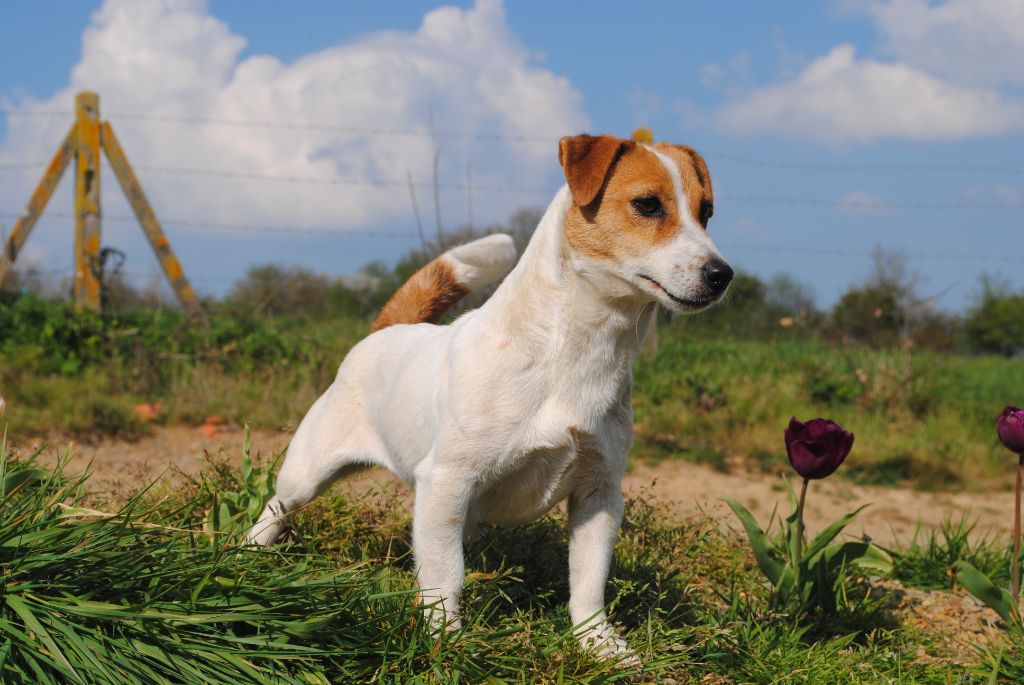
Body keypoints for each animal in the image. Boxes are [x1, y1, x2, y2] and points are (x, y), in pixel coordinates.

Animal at [245, 131, 729, 659]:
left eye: (706, 212)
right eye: (647, 204)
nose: (722, 274)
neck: (578, 350)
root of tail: (387, 329)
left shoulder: (598, 492)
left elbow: (588, 579)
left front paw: (598, 643)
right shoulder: (447, 481)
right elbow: (444, 575)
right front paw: (445, 639)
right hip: (307, 473)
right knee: (277, 505)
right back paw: (249, 551)